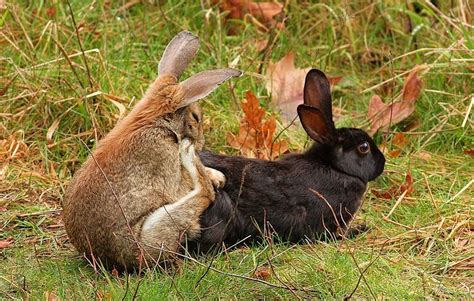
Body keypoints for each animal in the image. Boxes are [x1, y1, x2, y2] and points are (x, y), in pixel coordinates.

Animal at [62, 32, 241, 270]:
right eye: (195, 117)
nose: (200, 143)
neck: (155, 118)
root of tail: (99, 257)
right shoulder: (165, 158)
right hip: (159, 224)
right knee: (203, 195)